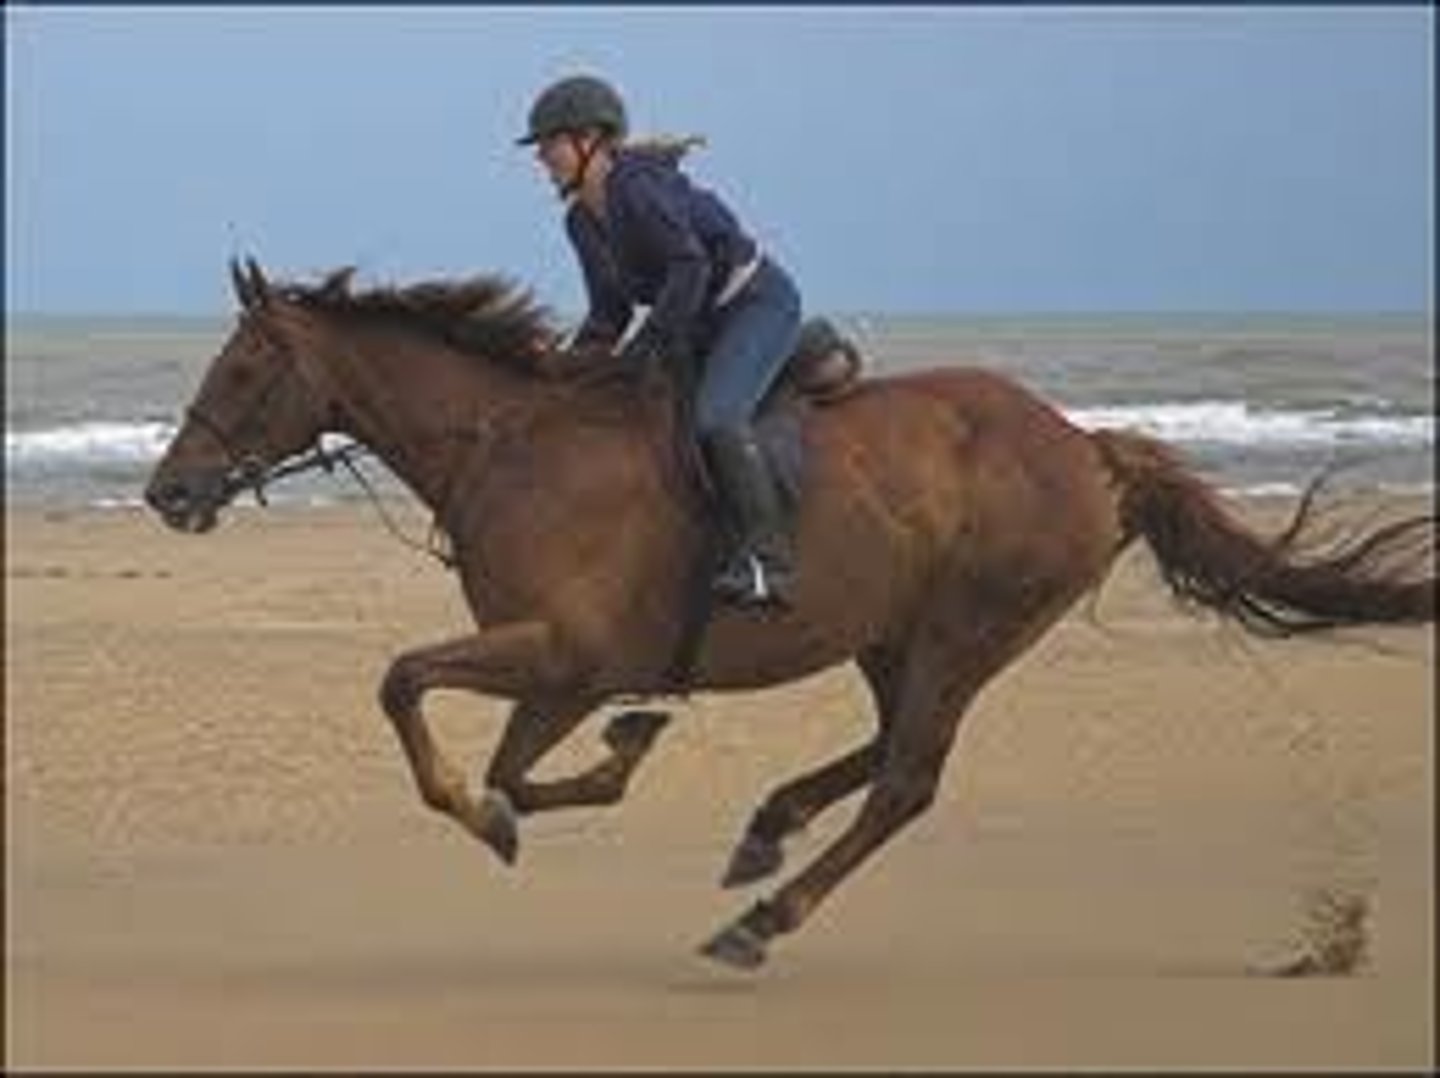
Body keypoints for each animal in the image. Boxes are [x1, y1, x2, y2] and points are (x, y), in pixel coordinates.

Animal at [145, 258, 1436, 970]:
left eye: (244, 370)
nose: (167, 492)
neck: (510, 447)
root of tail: (1089, 447)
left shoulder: (563, 651)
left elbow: (405, 682)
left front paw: (516, 800)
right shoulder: (562, 672)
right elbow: (517, 769)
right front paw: (594, 767)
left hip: (967, 627)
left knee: (908, 777)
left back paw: (764, 916)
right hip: (894, 633)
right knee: (889, 747)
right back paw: (766, 828)